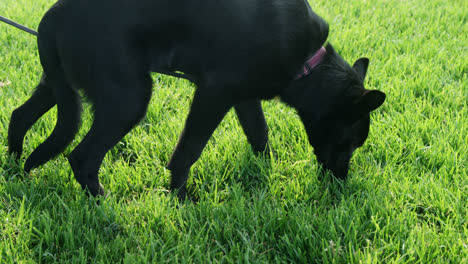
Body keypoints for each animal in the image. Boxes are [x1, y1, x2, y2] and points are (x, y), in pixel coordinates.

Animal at [8, 0, 384, 198]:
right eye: (352, 141)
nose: (340, 183)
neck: (308, 62)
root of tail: (53, 16)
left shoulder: (243, 96)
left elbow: (259, 135)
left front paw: (268, 171)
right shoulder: (214, 93)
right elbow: (189, 150)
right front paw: (180, 196)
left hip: (60, 88)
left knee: (19, 116)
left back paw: (14, 166)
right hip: (129, 98)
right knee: (81, 156)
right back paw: (103, 204)